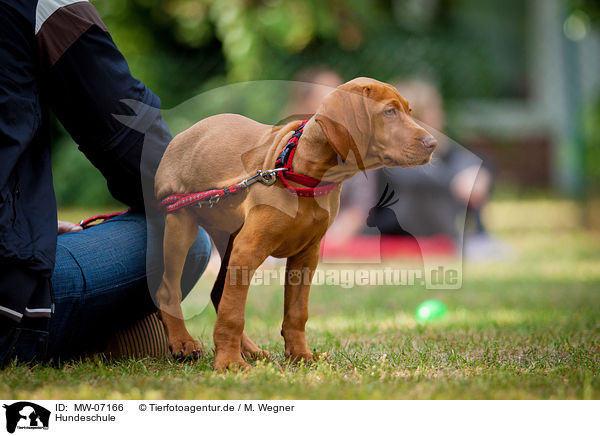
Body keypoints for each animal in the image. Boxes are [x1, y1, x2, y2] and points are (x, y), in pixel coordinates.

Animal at [155, 77, 436, 368]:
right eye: (389, 111)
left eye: (409, 111)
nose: (433, 143)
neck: (302, 171)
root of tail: (186, 132)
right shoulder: (248, 249)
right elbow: (233, 313)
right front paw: (230, 363)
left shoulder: (306, 254)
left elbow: (296, 312)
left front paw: (301, 355)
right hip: (180, 223)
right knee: (169, 288)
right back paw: (184, 342)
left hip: (228, 235)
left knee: (219, 292)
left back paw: (250, 350)